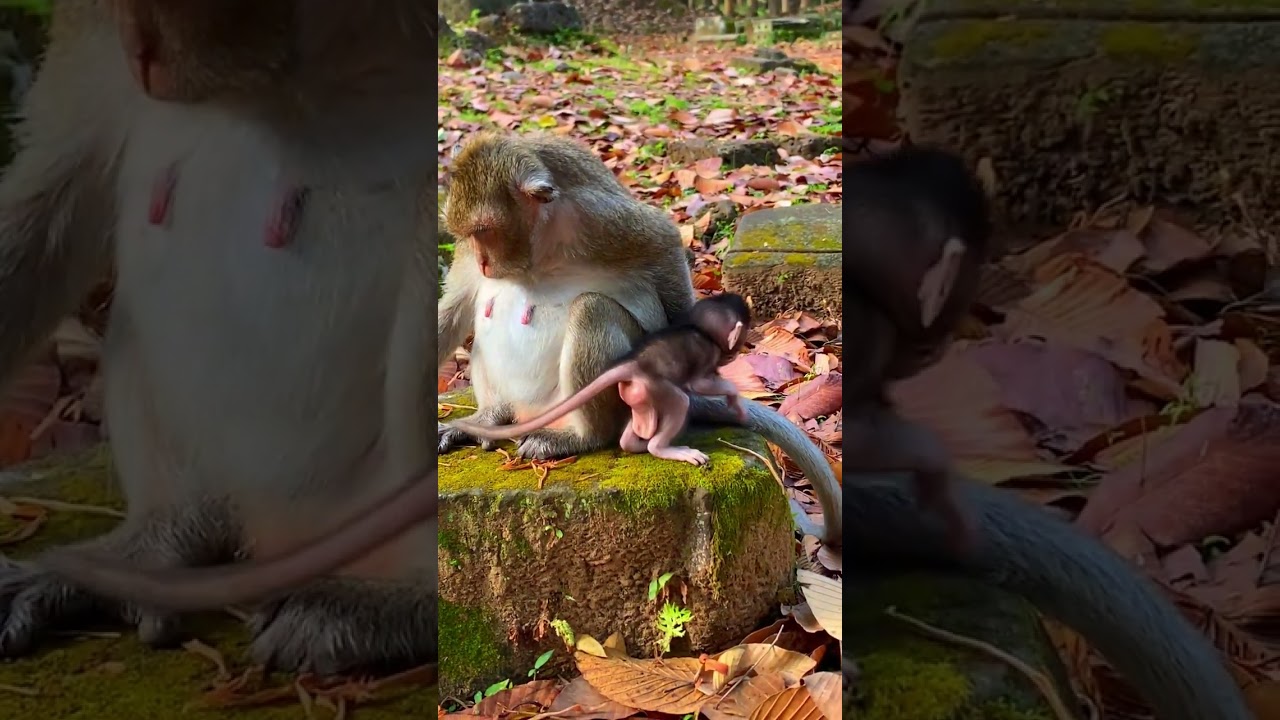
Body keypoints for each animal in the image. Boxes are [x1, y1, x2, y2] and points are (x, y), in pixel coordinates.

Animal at [447, 292, 752, 466]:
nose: (741, 347)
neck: (700, 329)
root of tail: (631, 364)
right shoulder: (709, 354)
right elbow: (701, 383)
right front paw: (734, 399)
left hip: (636, 395)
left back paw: (634, 444)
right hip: (654, 388)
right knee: (679, 401)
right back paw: (661, 447)